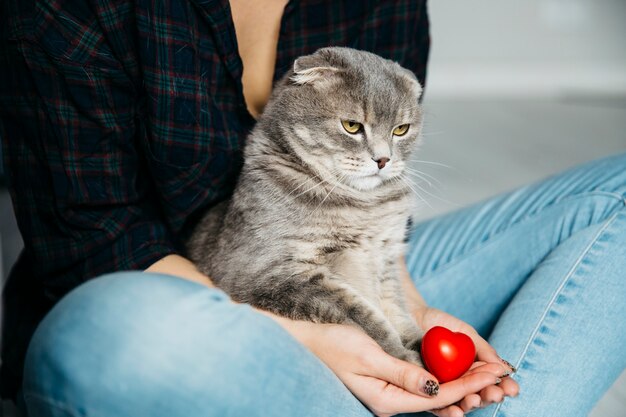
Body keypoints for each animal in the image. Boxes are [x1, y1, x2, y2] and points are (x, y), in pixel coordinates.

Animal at [186, 45, 424, 364]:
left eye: (401, 130)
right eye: (351, 126)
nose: (383, 160)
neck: (364, 206)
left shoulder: (385, 261)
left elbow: (396, 309)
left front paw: (415, 342)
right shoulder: (269, 273)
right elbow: (360, 312)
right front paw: (401, 355)